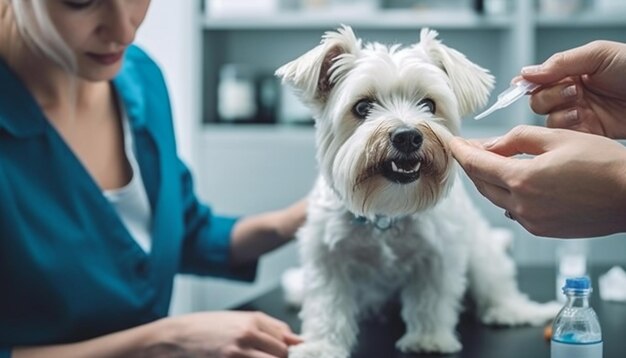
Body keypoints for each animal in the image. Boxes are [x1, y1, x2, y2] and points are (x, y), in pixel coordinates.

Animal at [276, 26, 560, 356]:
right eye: (362, 107)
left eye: (429, 104)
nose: (407, 136)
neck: (387, 213)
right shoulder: (326, 256)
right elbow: (327, 305)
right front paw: (320, 346)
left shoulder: (439, 254)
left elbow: (430, 301)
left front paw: (428, 340)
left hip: (482, 255)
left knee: (498, 286)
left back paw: (512, 311)